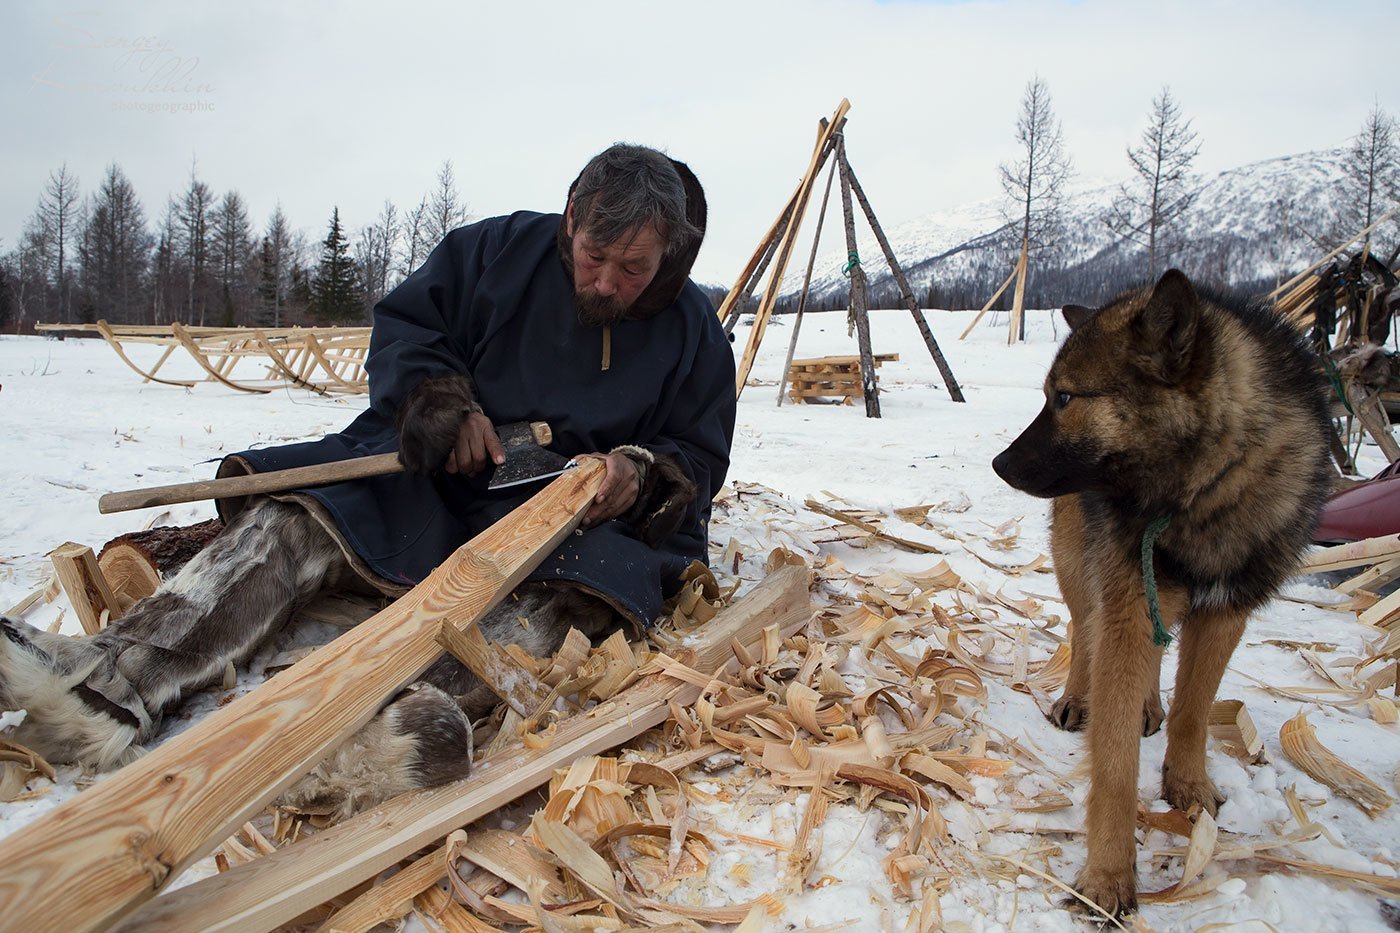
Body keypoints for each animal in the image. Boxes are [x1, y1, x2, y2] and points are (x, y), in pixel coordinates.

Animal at [991, 267, 1327, 913]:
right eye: (1049, 395)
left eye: (1065, 398)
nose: (999, 464)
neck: (1200, 493)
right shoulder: (1125, 597)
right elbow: (1115, 761)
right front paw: (1108, 876)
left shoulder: (1223, 612)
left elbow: (1193, 714)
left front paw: (1189, 787)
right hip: (1081, 566)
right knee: (1083, 628)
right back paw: (1077, 698)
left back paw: (1149, 705)